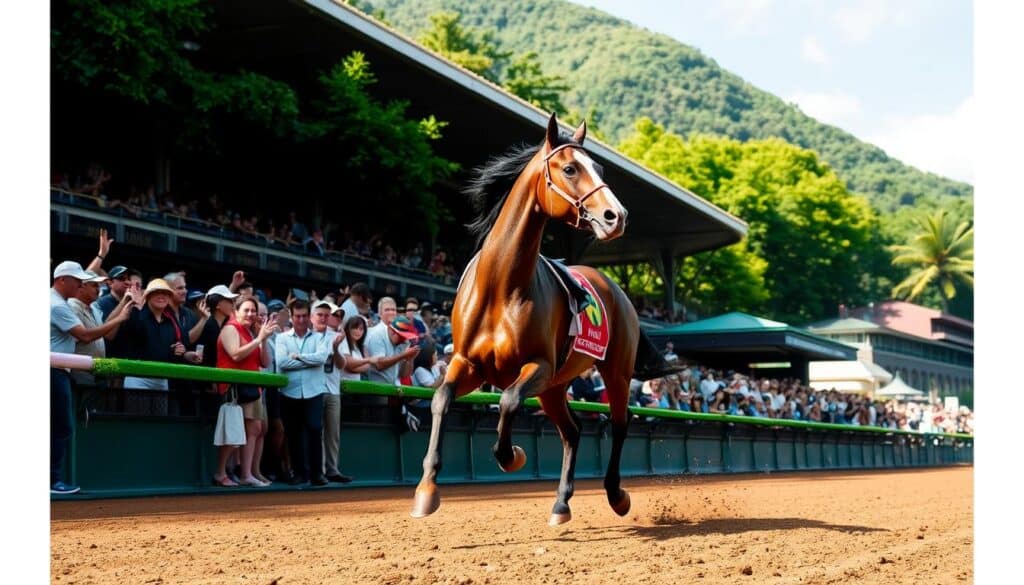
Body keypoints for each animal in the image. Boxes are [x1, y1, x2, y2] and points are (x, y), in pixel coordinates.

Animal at [411, 112, 659, 524]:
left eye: (600, 168)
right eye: (571, 168)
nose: (616, 216)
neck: (501, 286)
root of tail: (615, 288)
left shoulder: (537, 365)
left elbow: (509, 402)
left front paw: (511, 455)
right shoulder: (468, 363)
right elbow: (441, 399)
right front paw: (426, 490)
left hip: (614, 373)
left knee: (619, 424)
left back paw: (615, 494)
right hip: (556, 387)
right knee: (572, 431)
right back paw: (561, 503)